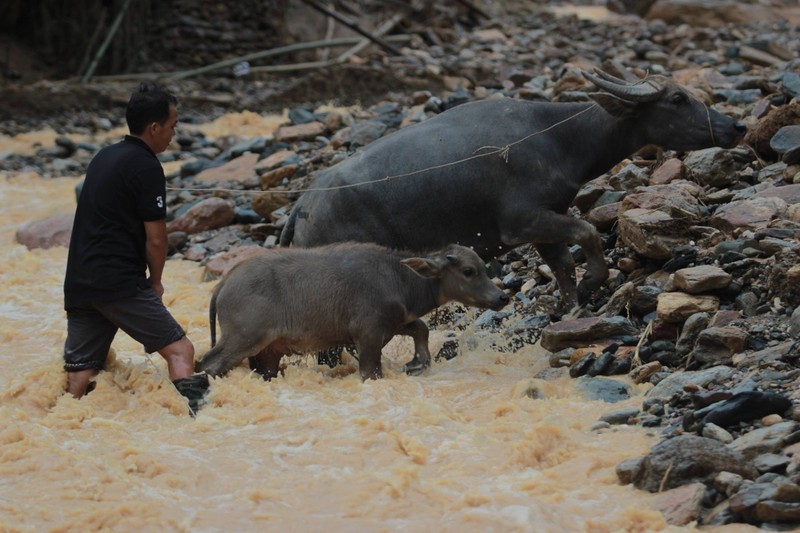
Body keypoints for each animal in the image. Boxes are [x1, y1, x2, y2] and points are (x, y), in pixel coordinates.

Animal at [195, 243, 506, 380]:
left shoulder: (393, 322)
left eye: (483, 267)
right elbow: (370, 370)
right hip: (243, 337)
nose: (502, 297)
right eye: (469, 271)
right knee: (209, 363)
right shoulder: (368, 334)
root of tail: (226, 281)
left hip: (266, 351)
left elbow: (421, 328)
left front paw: (418, 362)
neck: (398, 279)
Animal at [280, 71, 744, 312]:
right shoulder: (522, 223)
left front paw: (571, 304)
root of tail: (301, 205)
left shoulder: (545, 224)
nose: (735, 125)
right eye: (678, 99)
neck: (556, 137)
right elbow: (586, 233)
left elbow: (562, 265)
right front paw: (595, 282)